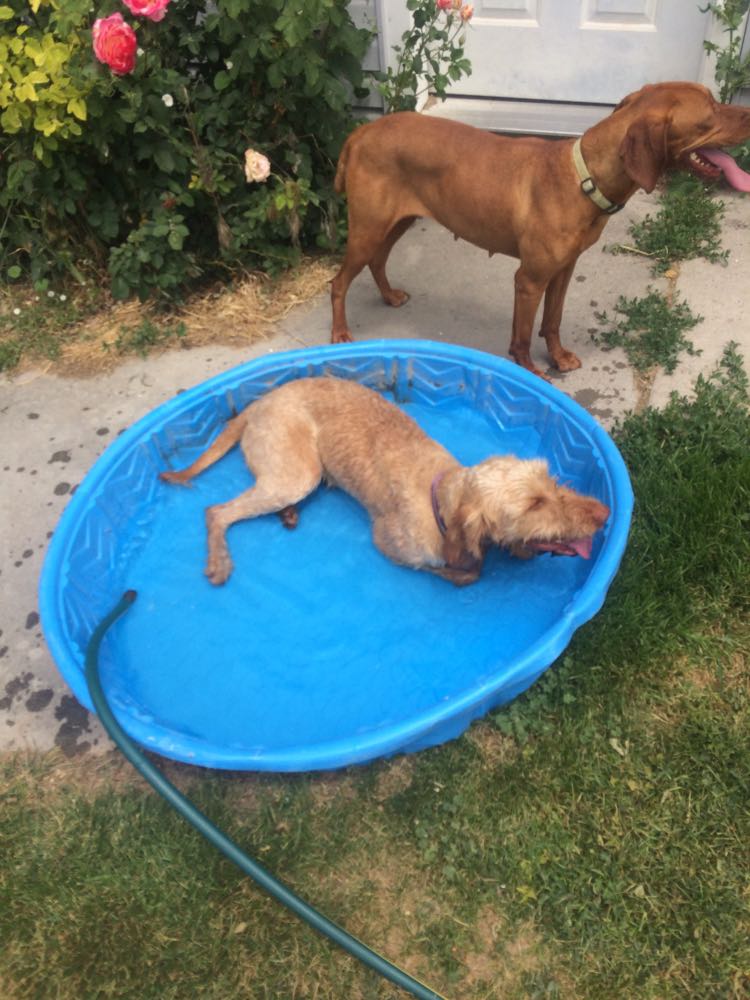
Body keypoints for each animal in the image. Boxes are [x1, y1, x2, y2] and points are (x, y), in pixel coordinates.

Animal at [160, 380, 612, 584]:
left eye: (551, 481)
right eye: (533, 504)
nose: (605, 512)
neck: (440, 498)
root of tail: (257, 404)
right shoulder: (388, 544)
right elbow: (465, 572)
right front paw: (465, 567)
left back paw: (287, 515)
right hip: (296, 474)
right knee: (217, 511)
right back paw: (220, 559)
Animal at [330, 82, 750, 376]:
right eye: (712, 108)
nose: (749, 113)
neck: (584, 177)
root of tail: (362, 132)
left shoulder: (563, 270)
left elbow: (552, 321)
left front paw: (558, 357)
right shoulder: (529, 279)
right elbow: (521, 337)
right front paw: (531, 371)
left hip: (395, 221)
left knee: (378, 261)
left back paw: (388, 296)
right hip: (368, 228)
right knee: (338, 282)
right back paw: (339, 335)